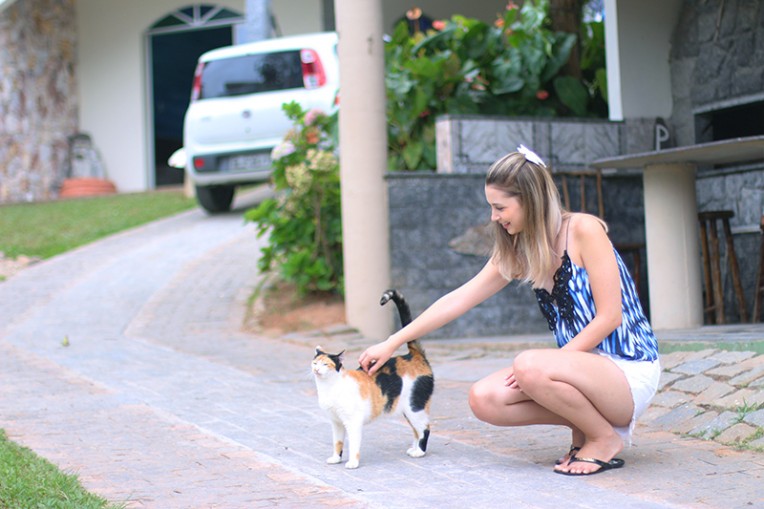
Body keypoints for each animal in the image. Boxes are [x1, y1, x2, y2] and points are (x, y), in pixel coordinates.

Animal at [308, 290, 430, 468]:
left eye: (326, 364)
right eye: (315, 362)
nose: (316, 369)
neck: (330, 387)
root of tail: (413, 355)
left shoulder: (353, 422)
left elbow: (353, 444)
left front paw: (353, 463)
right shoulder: (336, 422)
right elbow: (337, 442)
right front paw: (336, 458)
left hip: (415, 406)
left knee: (425, 428)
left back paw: (419, 452)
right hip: (408, 410)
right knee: (416, 430)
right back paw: (413, 449)